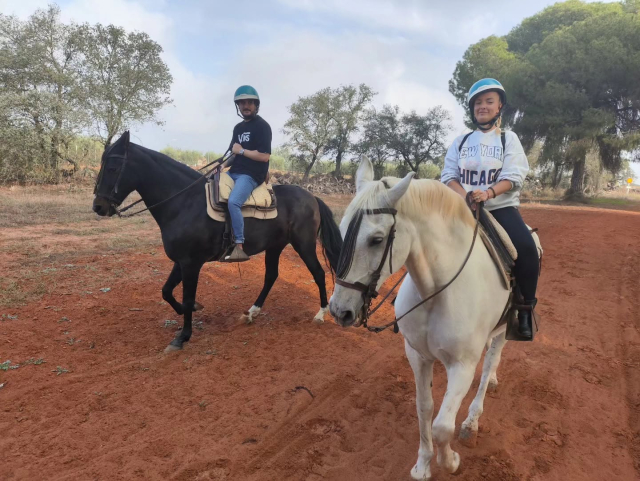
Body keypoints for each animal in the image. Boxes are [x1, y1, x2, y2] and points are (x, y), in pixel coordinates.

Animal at [93, 131, 343, 353]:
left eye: (113, 168)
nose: (98, 206)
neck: (185, 202)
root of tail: (312, 197)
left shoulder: (191, 264)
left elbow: (186, 296)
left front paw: (183, 336)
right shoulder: (180, 261)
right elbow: (166, 291)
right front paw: (190, 309)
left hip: (304, 245)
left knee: (318, 273)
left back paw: (320, 314)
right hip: (275, 246)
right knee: (271, 276)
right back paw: (251, 313)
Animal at [329, 157, 529, 480]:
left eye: (376, 240)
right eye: (342, 229)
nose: (338, 311)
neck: (437, 291)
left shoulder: (463, 365)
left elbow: (443, 426)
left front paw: (450, 462)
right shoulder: (418, 355)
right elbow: (424, 409)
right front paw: (423, 464)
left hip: (502, 332)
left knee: (489, 365)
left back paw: (472, 421)